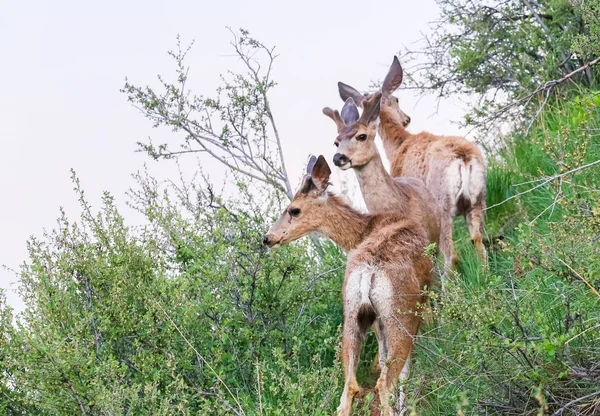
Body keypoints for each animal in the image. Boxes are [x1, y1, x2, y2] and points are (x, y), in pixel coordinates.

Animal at [264, 156, 434, 416]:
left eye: (294, 209)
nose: (268, 238)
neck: (361, 233)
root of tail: (368, 272)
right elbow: (404, 371)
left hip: (354, 314)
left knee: (349, 387)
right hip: (400, 315)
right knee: (384, 382)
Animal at [338, 56, 488, 270]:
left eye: (397, 98)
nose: (407, 118)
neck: (399, 145)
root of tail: (463, 156)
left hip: (443, 206)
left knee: (451, 255)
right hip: (478, 198)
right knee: (478, 241)